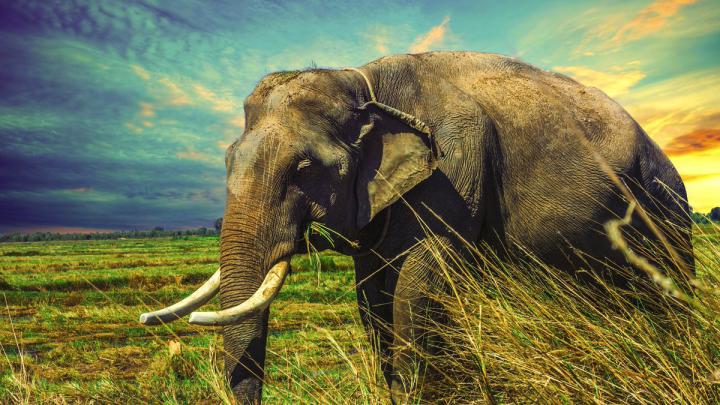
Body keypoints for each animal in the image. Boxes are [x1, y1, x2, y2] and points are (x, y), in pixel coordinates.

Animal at [140, 51, 694, 403]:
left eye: (304, 169)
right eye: (226, 161)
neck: (361, 80)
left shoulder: (454, 169)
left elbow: (417, 285)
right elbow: (372, 296)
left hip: (666, 204)